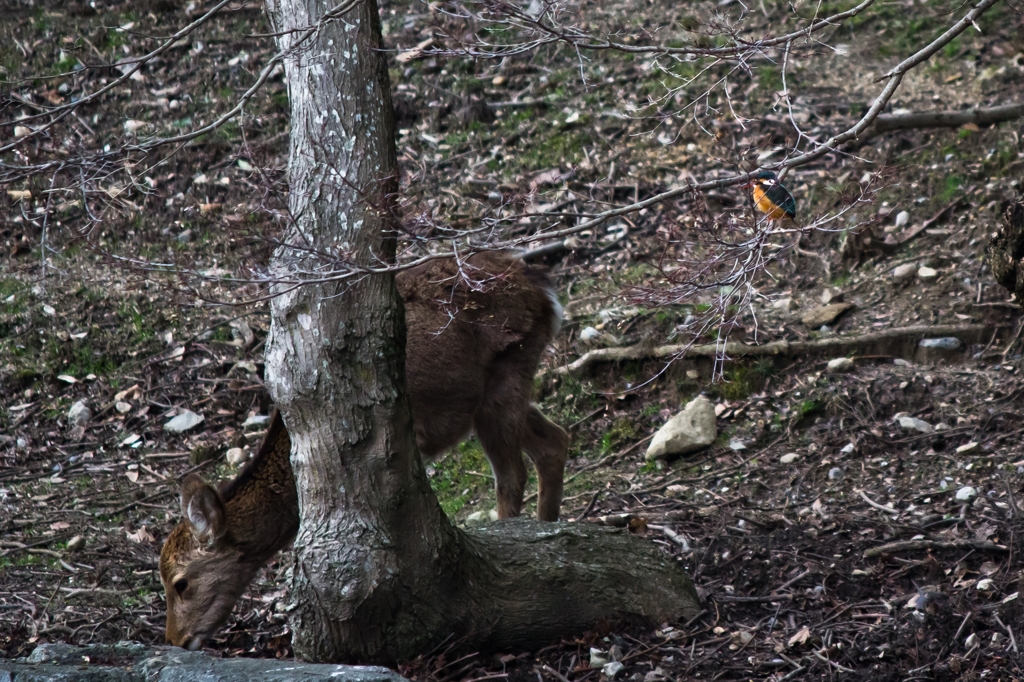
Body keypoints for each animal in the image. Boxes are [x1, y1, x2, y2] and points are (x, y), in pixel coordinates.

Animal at [157, 250, 569, 647]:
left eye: (181, 582)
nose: (175, 639)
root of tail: (544, 292)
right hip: (495, 392)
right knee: (555, 441)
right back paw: (549, 533)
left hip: (506, 371)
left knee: (513, 473)